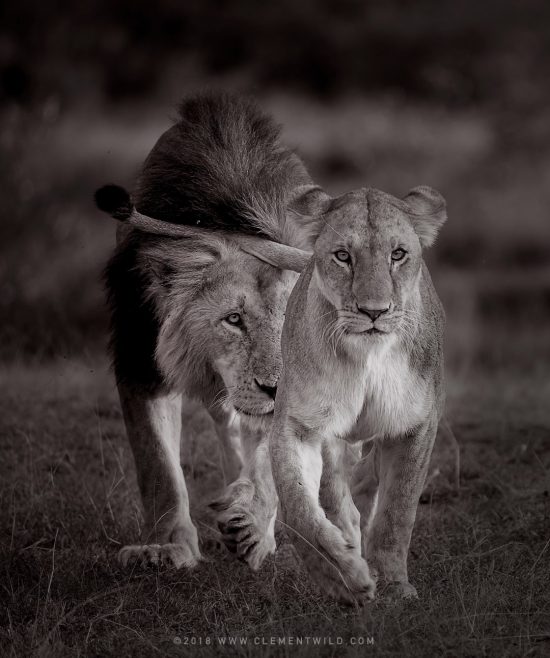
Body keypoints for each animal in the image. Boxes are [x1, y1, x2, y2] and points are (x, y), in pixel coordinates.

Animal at [96, 93, 314, 568]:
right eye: (233, 320)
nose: (277, 387)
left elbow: (271, 462)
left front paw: (252, 524)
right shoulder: (141, 361)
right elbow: (158, 464)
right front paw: (165, 548)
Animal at [233, 182, 448, 604]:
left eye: (398, 254)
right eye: (343, 256)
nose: (374, 312)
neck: (367, 358)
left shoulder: (416, 425)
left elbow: (398, 511)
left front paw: (395, 585)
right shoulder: (298, 424)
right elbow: (300, 510)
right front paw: (343, 576)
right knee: (336, 494)